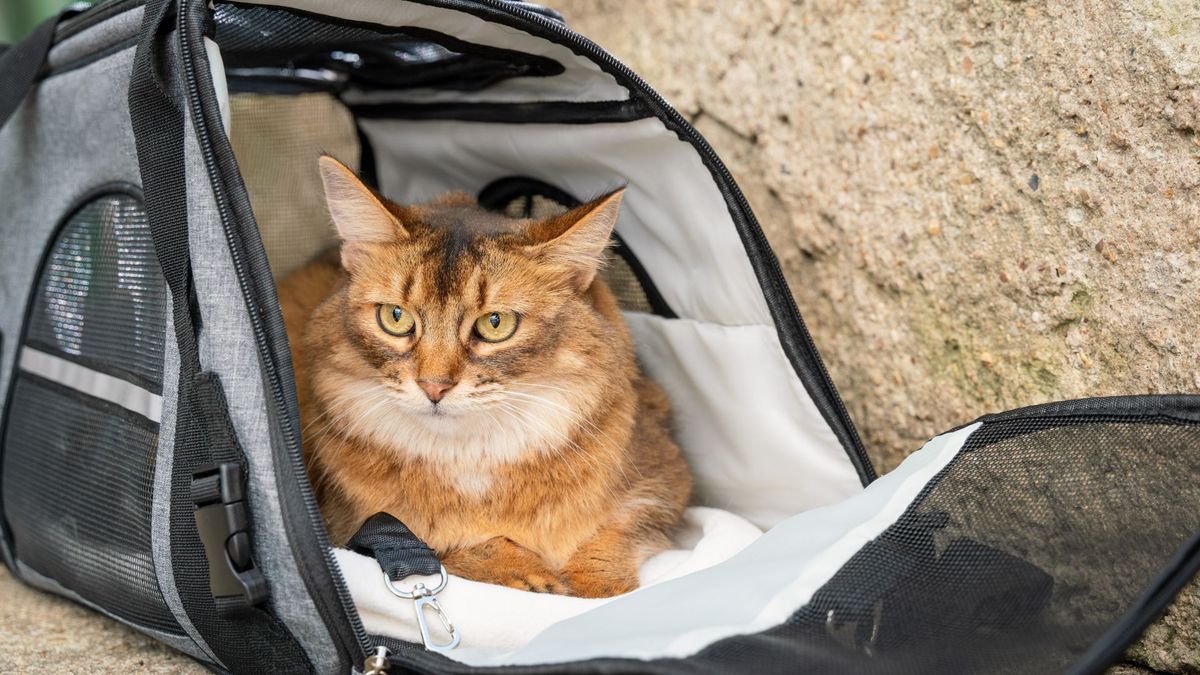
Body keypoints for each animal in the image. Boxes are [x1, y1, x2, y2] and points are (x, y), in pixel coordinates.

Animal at [278, 156, 696, 593]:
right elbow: (462, 543)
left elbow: (615, 532)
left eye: (495, 323)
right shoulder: (350, 526)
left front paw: (592, 588)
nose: (434, 386)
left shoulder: (665, 480)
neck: (471, 461)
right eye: (395, 317)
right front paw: (529, 574)